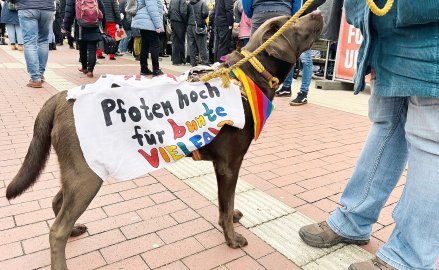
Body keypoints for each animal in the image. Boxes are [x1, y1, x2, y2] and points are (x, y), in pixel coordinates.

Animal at [6, 12, 324, 270]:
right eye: (296, 21)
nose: (320, 12)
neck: (248, 76)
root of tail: (62, 97)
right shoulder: (229, 165)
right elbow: (224, 204)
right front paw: (232, 238)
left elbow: (228, 203)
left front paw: (233, 216)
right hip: (86, 174)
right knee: (56, 230)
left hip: (80, 170)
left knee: (57, 204)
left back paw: (74, 230)